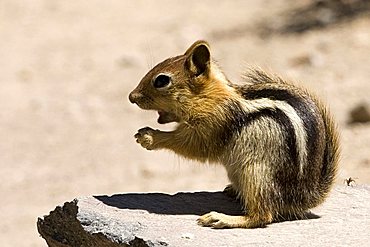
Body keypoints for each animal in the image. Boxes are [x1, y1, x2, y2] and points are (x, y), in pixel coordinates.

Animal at [129, 40, 340, 228]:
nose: (131, 97)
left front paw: (150, 137)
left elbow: (191, 145)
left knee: (262, 215)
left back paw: (221, 219)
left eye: (161, 80)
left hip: (256, 172)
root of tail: (305, 197)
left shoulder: (212, 126)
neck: (209, 97)